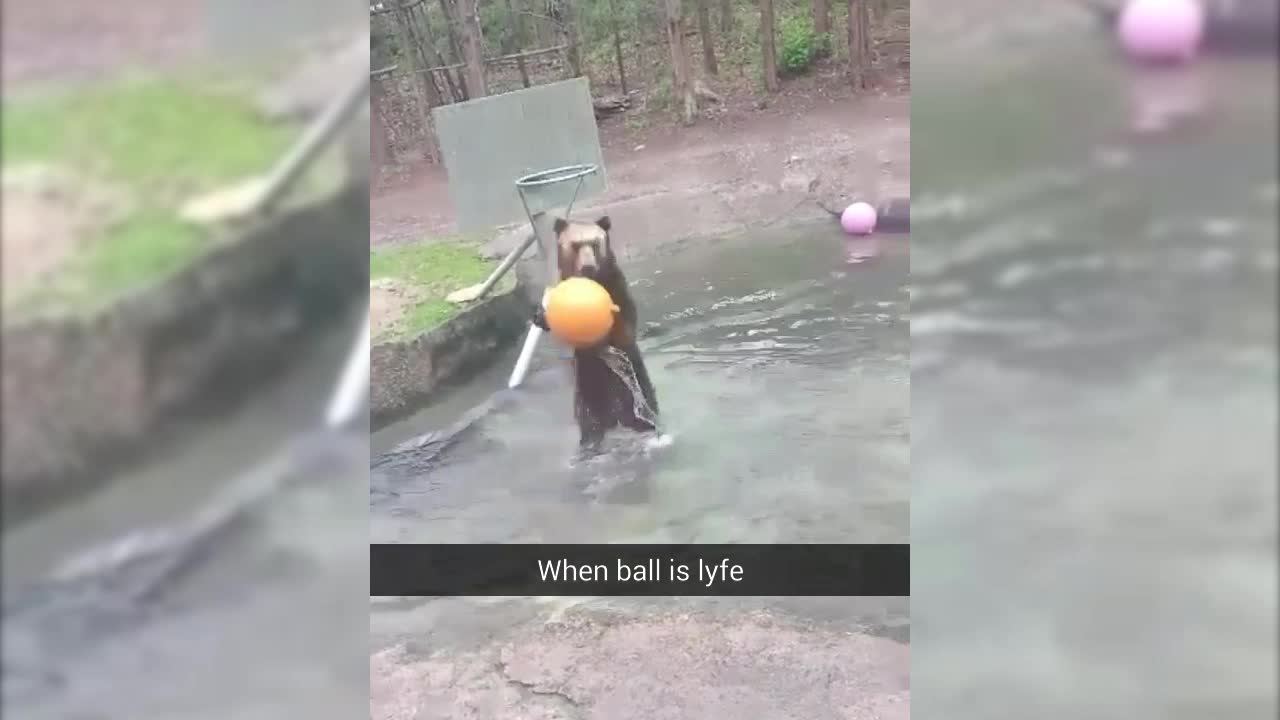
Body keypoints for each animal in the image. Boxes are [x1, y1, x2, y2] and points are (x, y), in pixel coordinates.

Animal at [535, 212, 665, 450]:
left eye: (595, 244)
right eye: (576, 245)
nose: (588, 266)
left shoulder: (617, 288)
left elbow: (625, 320)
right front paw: (541, 315)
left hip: (634, 384)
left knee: (643, 408)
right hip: (587, 387)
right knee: (590, 422)